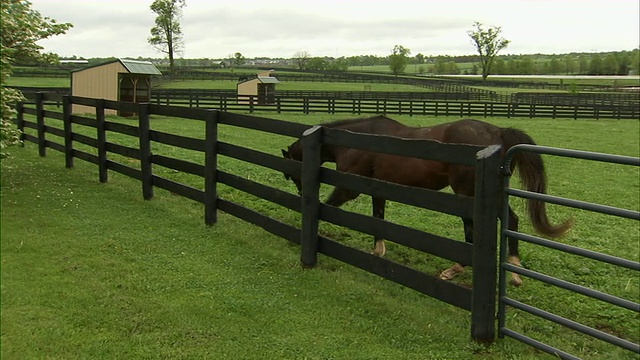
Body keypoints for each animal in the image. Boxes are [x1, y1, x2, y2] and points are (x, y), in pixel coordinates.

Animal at [280, 114, 568, 286]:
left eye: (291, 172)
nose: (301, 194)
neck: (355, 141)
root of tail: (497, 132)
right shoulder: (378, 189)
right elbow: (377, 219)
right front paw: (378, 252)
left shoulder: (349, 188)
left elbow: (326, 206)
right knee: (512, 220)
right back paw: (514, 272)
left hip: (467, 195)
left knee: (474, 230)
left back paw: (456, 270)